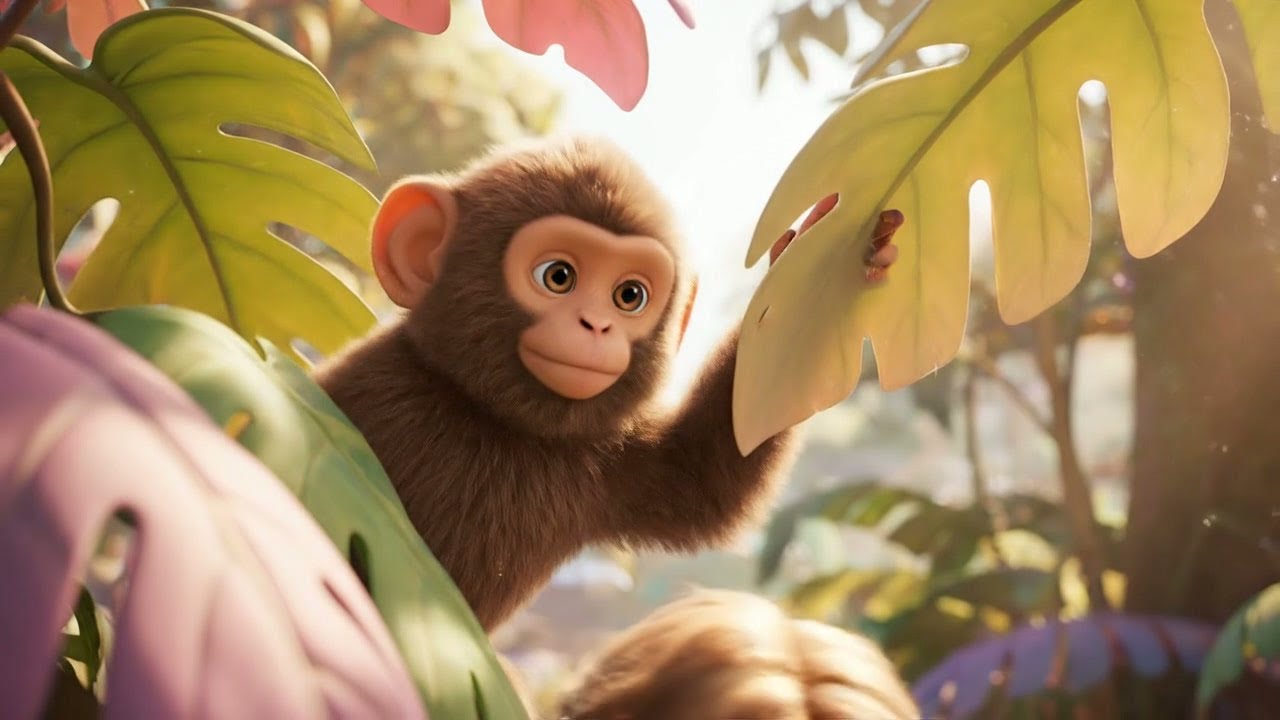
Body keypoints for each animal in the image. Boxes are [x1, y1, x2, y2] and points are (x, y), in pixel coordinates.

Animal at [311, 135, 900, 631]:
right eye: (558, 276)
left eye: (629, 296)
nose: (596, 325)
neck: (500, 422)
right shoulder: (381, 386)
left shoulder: (606, 461)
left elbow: (712, 471)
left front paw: (836, 258)